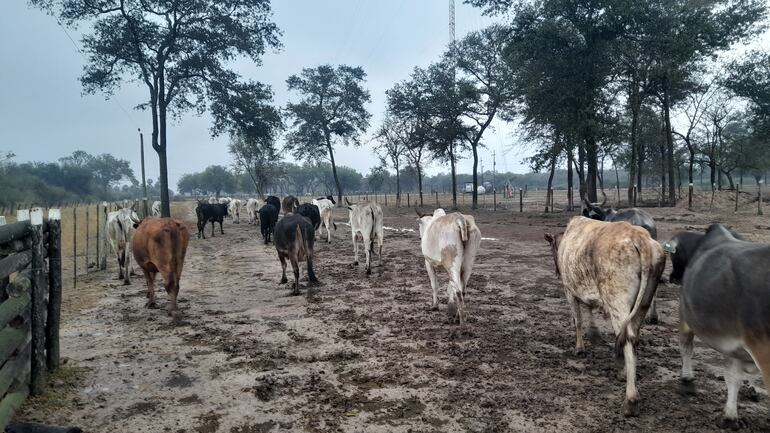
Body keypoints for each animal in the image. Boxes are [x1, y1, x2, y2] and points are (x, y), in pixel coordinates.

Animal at [544, 218, 664, 416]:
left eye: (552, 247)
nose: (556, 271)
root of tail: (639, 238)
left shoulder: (569, 290)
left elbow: (578, 320)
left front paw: (579, 348)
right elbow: (589, 311)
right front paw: (594, 335)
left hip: (617, 301)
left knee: (627, 337)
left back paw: (630, 400)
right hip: (644, 301)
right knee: (633, 335)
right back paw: (624, 373)